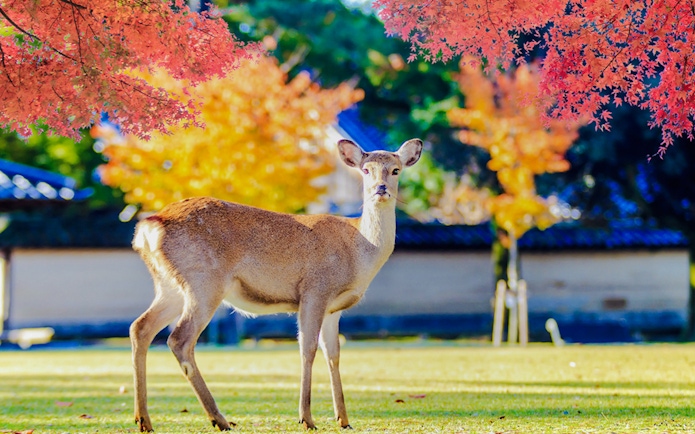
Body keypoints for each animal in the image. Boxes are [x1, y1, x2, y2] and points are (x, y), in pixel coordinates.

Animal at [128, 138, 423, 432]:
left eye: (395, 170)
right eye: (365, 170)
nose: (381, 189)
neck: (359, 250)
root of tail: (148, 228)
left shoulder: (334, 308)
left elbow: (334, 354)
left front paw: (343, 419)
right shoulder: (315, 289)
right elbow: (307, 349)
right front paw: (306, 418)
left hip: (170, 286)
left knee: (140, 327)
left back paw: (144, 419)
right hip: (204, 281)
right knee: (179, 339)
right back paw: (219, 419)